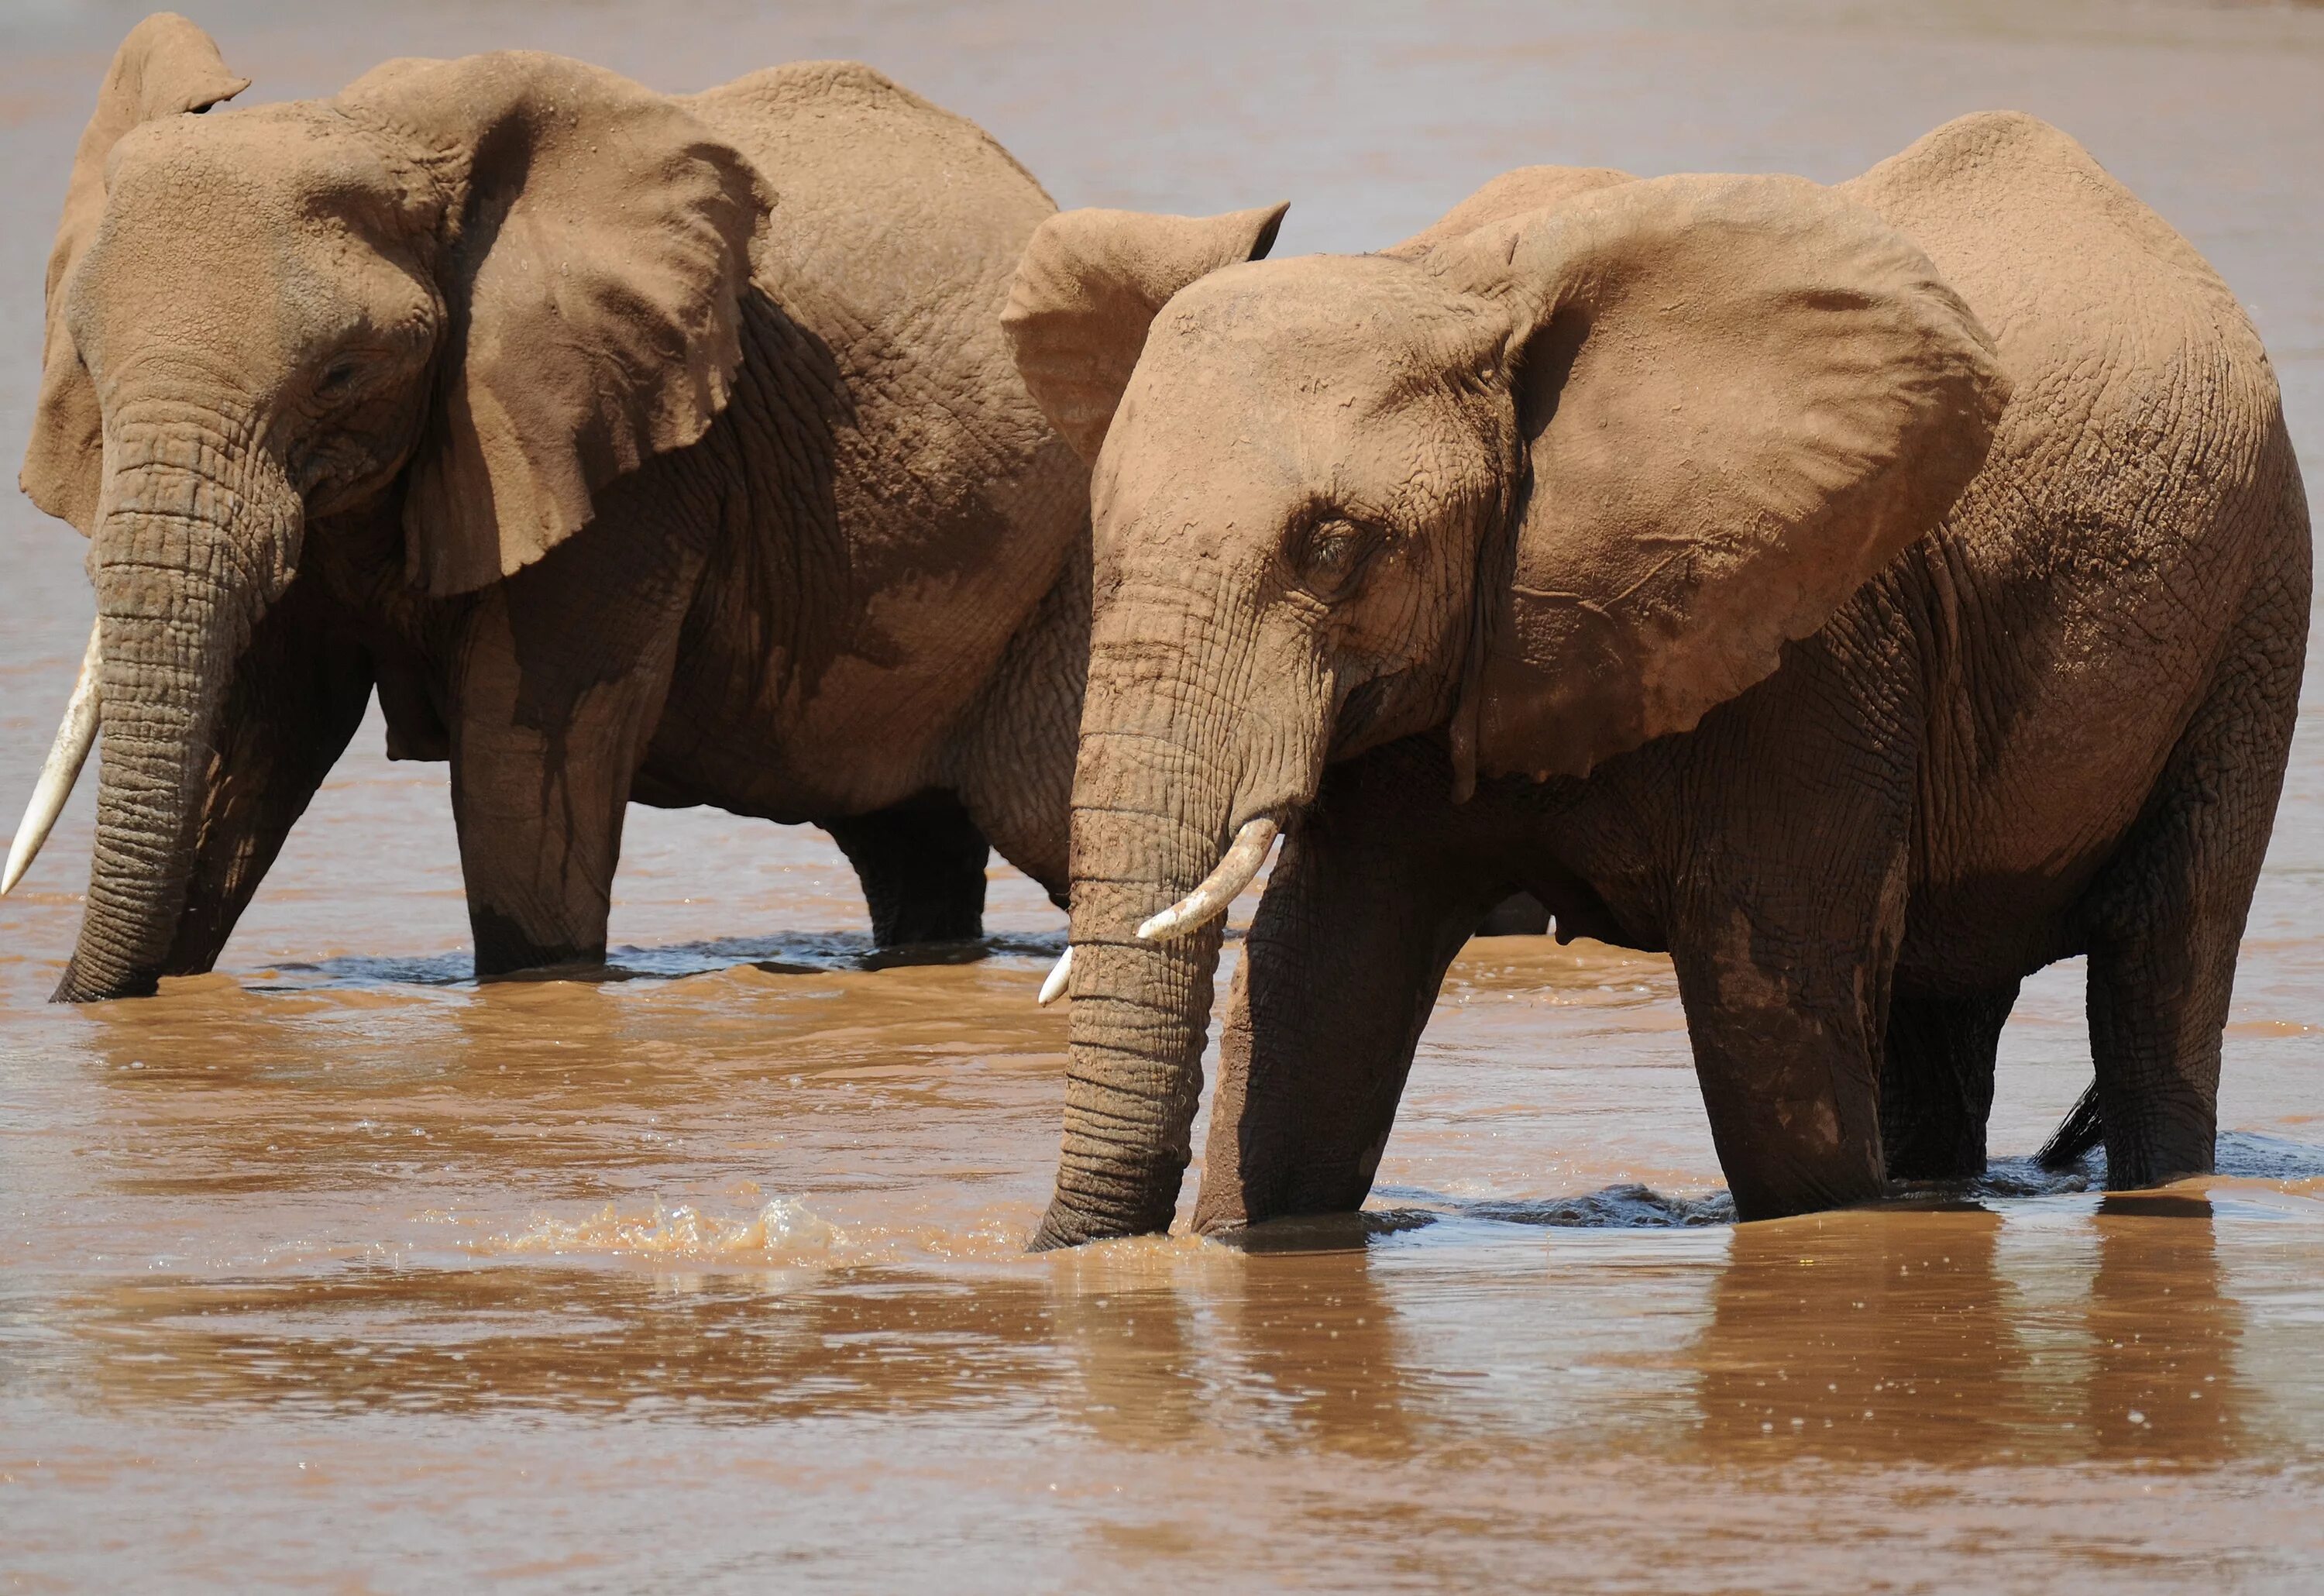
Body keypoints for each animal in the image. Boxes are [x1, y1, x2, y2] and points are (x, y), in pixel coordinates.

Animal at [0, 15, 1171, 999]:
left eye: (341, 373)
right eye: (85, 368)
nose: (64, 1000)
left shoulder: (627, 463)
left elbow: (521, 767)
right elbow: (253, 744)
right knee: (914, 847)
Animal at [1009, 118, 2315, 1254]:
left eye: (1333, 548)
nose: (1054, 1252)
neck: (1451, 287)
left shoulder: (1819, 637)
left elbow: (1770, 1042)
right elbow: (1320, 999)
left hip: (2255, 614)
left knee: (2162, 971)